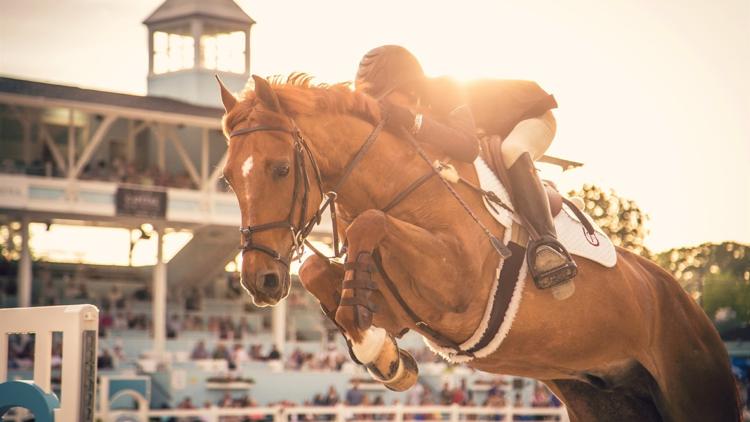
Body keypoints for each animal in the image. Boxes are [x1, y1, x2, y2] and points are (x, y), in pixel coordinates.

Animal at [217, 75, 740, 422]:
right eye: (228, 180)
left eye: (281, 169)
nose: (260, 282)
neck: (399, 183)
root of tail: (693, 309)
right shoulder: (405, 307)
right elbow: (316, 272)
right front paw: (383, 354)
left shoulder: (458, 289)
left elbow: (369, 223)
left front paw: (375, 350)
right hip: (604, 399)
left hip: (696, 389)